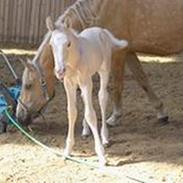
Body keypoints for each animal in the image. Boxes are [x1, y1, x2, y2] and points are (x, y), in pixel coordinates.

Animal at [16, 0, 183, 125]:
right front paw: (161, 113)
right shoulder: (128, 51)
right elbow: (142, 80)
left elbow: (117, 85)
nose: (19, 116)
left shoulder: (118, 53)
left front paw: (114, 117)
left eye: (28, 85)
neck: (101, 9)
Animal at [46, 17, 128, 165]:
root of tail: (102, 30)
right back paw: (85, 130)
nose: (60, 71)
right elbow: (71, 112)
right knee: (85, 98)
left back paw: (105, 137)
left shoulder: (86, 81)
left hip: (103, 70)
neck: (74, 61)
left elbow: (91, 114)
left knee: (102, 97)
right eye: (51, 45)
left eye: (68, 44)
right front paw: (67, 151)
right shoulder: (69, 84)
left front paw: (101, 155)